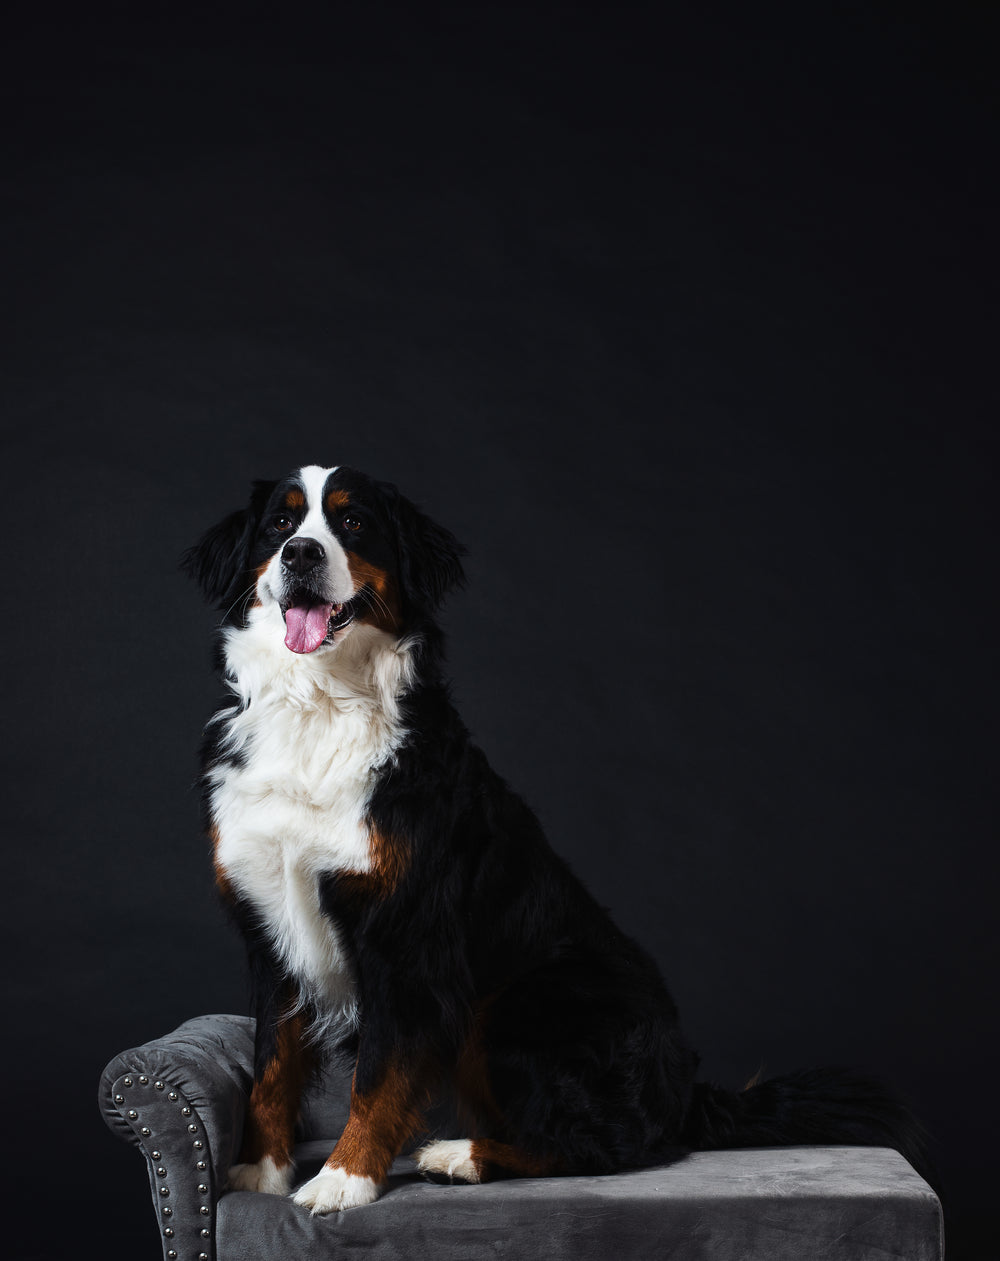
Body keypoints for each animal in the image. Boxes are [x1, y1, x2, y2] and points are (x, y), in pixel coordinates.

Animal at [181, 461, 928, 1210]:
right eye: (281, 523)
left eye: (353, 522)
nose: (301, 554)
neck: (318, 705)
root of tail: (684, 1088)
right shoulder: (272, 929)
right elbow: (272, 1067)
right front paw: (260, 1170)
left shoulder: (406, 939)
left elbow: (378, 1074)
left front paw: (343, 1178)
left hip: (520, 1002)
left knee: (604, 1145)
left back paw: (461, 1156)